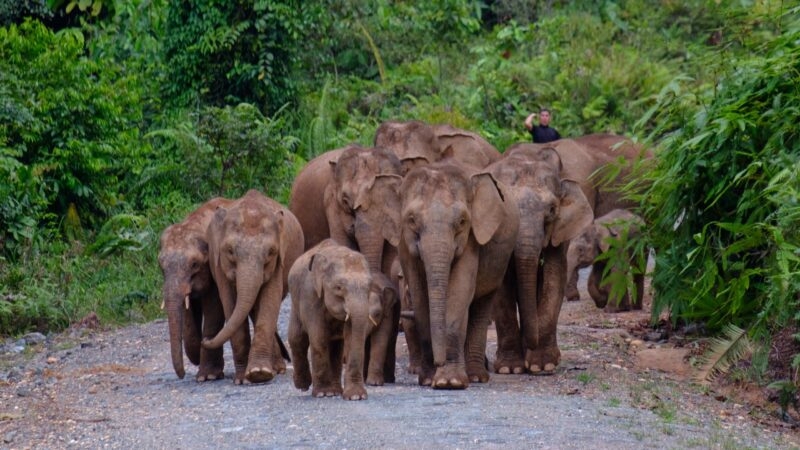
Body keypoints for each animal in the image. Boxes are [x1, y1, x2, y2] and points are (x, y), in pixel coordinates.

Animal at [158, 197, 231, 381]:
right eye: (161, 266)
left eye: (194, 264)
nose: (182, 375)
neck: (194, 223)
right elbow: (188, 312)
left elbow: (214, 308)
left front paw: (208, 376)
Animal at [201, 189, 304, 384]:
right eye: (230, 251)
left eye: (271, 252)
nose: (205, 340)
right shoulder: (219, 263)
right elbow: (230, 303)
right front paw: (242, 379)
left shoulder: (278, 262)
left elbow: (269, 300)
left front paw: (259, 373)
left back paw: (276, 369)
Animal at [287, 240, 394, 400]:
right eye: (338, 287)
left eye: (369, 287)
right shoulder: (310, 295)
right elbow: (318, 336)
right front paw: (323, 394)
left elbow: (351, 336)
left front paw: (356, 396)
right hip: (295, 303)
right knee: (297, 338)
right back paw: (304, 386)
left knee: (337, 346)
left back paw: (336, 391)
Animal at [394, 160, 519, 389]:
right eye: (412, 220)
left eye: (461, 221)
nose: (439, 361)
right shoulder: (404, 245)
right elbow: (419, 296)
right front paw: (428, 380)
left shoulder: (471, 239)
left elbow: (459, 291)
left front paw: (449, 382)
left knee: (481, 306)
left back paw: (476, 377)